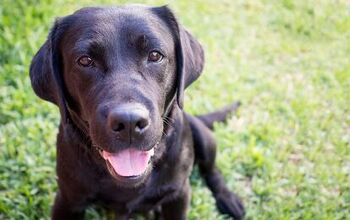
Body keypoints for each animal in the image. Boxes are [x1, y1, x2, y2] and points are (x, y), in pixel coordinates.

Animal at [29, 5, 243, 220]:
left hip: (204, 137)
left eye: (155, 55)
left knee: (211, 169)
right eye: (85, 61)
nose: (129, 122)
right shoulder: (68, 199)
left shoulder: (179, 194)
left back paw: (228, 198)